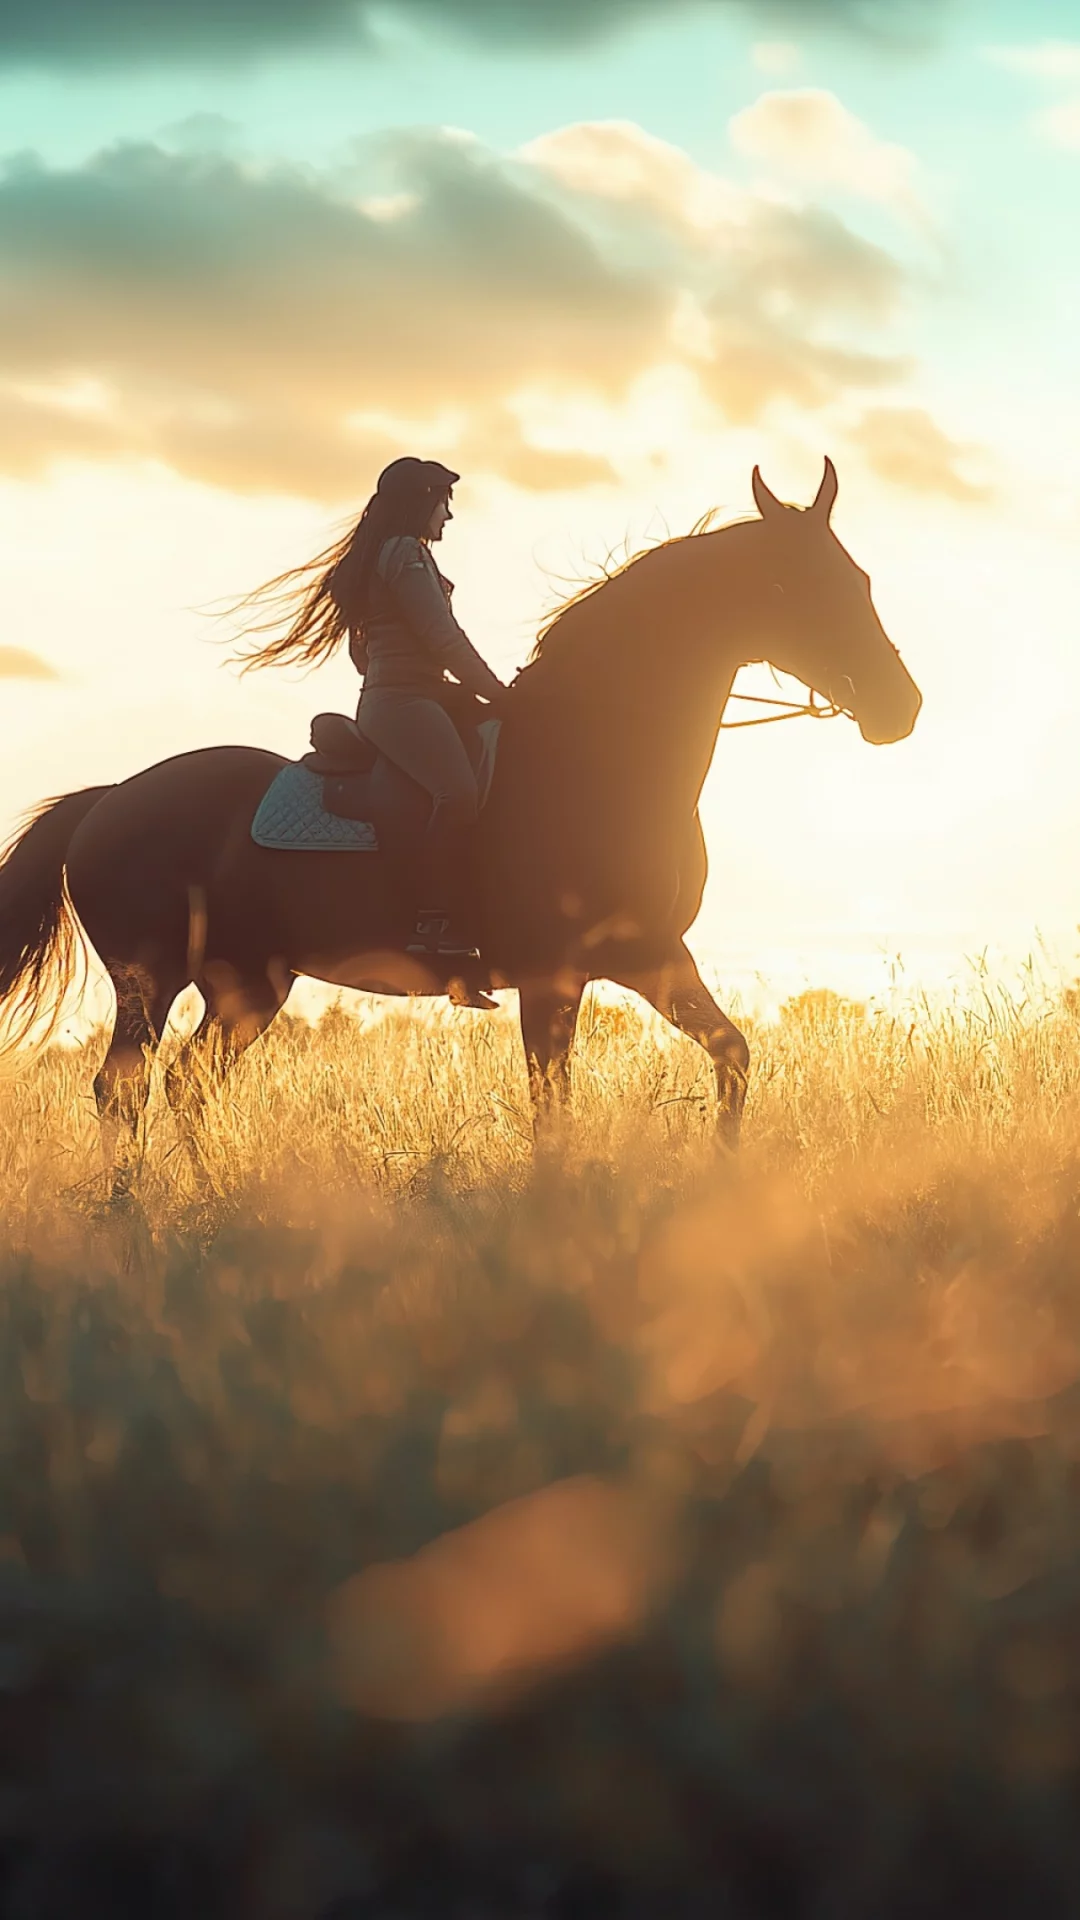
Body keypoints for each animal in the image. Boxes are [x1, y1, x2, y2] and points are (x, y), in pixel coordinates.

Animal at [0, 461, 921, 1166]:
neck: (599, 757)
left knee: (187, 1085)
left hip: (249, 983)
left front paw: (724, 1175)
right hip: (150, 980)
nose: (900, 709)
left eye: (863, 580)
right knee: (121, 1091)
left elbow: (733, 1056)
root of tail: (108, 799)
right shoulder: (554, 974)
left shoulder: (654, 956)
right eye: (801, 584)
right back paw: (131, 1217)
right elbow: (552, 1106)